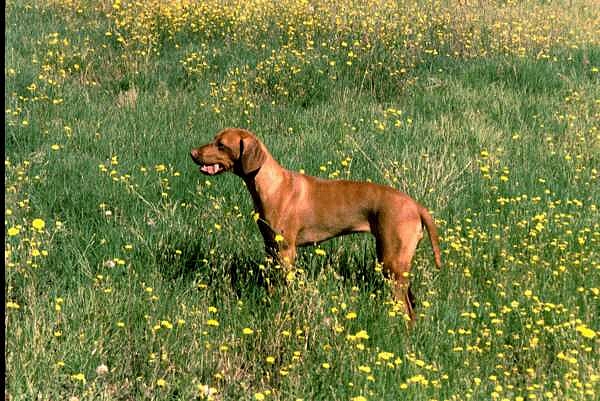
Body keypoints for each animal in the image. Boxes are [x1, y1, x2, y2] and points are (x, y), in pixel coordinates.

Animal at [192, 126, 440, 320]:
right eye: (214, 139)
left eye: (221, 145)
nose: (193, 153)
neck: (272, 185)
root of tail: (416, 206)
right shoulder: (270, 247)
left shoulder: (286, 251)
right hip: (393, 261)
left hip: (392, 263)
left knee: (406, 308)